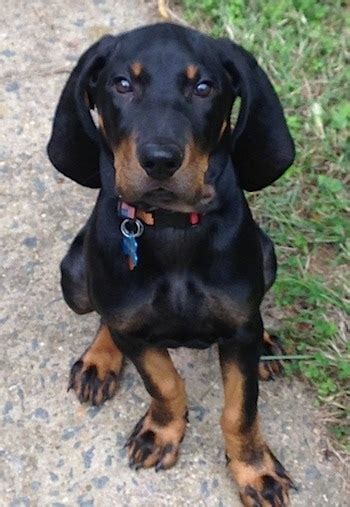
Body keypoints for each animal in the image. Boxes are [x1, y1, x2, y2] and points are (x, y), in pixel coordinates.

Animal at [47, 22, 296, 504]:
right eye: (122, 84)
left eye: (203, 87)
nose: (160, 160)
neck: (173, 227)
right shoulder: (134, 333)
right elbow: (163, 383)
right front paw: (160, 433)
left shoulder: (238, 328)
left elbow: (240, 410)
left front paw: (254, 470)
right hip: (74, 278)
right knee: (103, 314)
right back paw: (100, 359)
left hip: (267, 256)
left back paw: (266, 344)